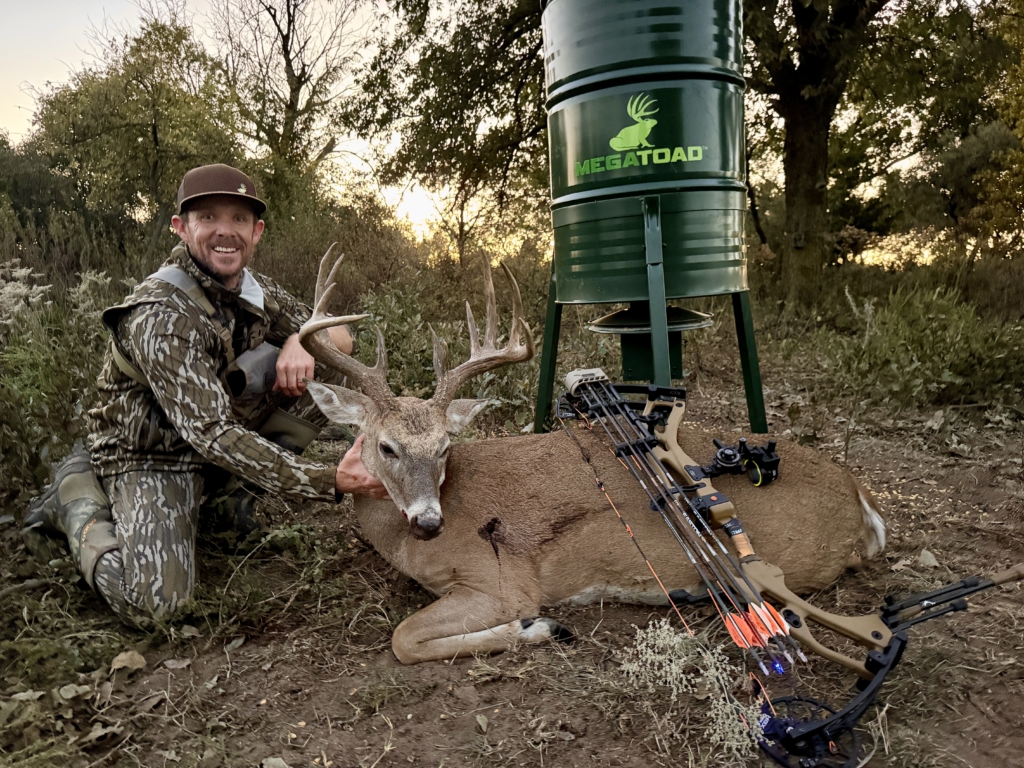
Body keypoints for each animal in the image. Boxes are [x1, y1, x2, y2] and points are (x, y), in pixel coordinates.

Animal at [300, 250, 886, 664]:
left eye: (445, 446)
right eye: (386, 446)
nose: (428, 523)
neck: (403, 543)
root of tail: (862, 497)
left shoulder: (501, 581)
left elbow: (403, 639)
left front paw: (539, 627)